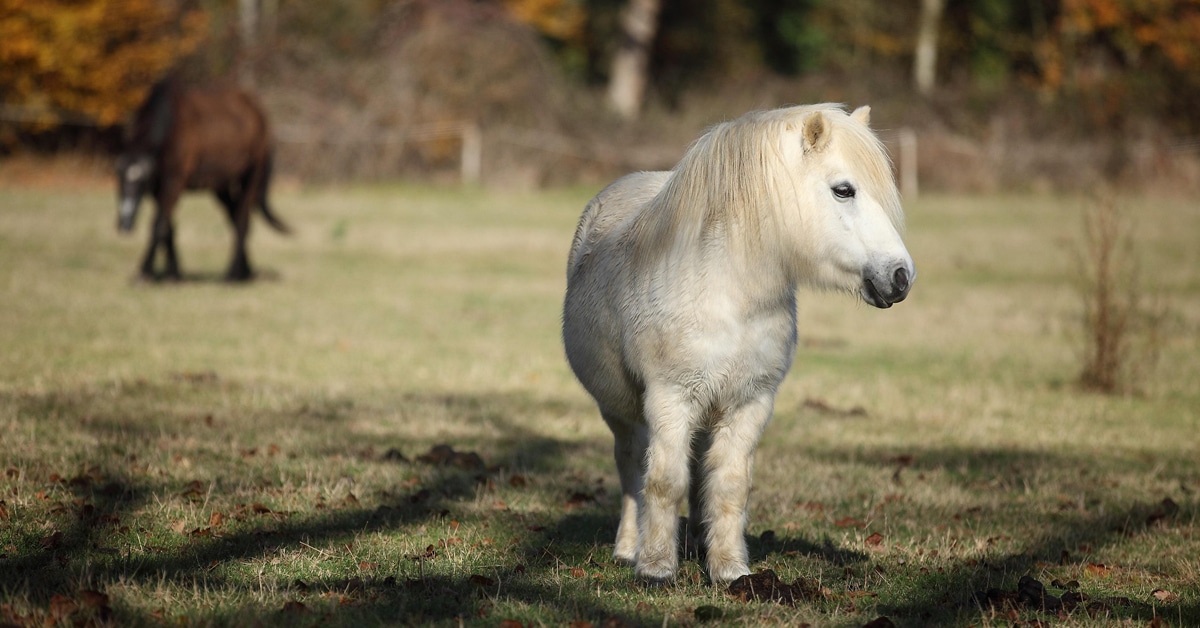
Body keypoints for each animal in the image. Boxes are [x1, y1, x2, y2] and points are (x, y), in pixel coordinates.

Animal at [115, 77, 289, 281]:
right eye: (118, 179)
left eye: (141, 181)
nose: (124, 224)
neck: (170, 127)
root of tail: (260, 113)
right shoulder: (157, 187)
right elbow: (168, 227)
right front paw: (173, 273)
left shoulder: (174, 181)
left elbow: (159, 225)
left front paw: (145, 271)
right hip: (220, 186)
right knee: (235, 217)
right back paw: (244, 272)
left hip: (251, 177)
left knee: (242, 220)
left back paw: (232, 275)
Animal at [562, 104, 914, 585]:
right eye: (844, 190)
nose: (901, 276)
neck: (728, 294)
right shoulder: (670, 400)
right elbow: (664, 482)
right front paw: (656, 567)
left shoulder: (749, 403)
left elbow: (729, 485)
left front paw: (729, 569)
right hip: (623, 414)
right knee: (633, 471)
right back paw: (629, 548)